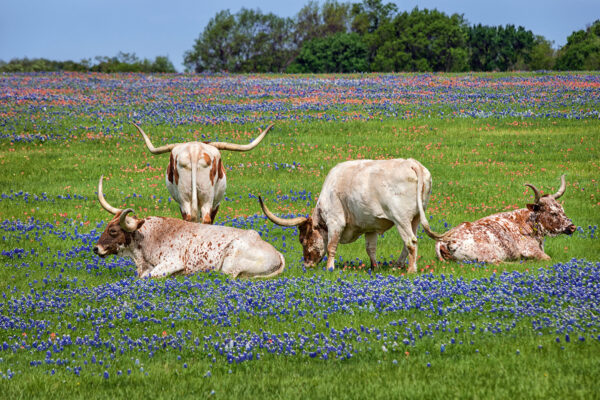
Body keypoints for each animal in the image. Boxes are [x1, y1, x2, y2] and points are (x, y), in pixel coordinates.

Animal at [256, 158, 436, 274]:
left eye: (303, 240)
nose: (307, 264)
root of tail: (412, 164)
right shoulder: (370, 226)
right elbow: (371, 248)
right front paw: (374, 267)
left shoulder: (336, 221)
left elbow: (331, 246)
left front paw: (330, 268)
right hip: (415, 218)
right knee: (408, 243)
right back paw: (397, 266)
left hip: (401, 218)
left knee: (411, 242)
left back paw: (411, 270)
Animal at [432, 174, 576, 262]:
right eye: (553, 213)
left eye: (562, 209)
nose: (572, 227)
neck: (526, 223)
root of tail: (443, 240)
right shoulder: (532, 250)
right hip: (488, 254)